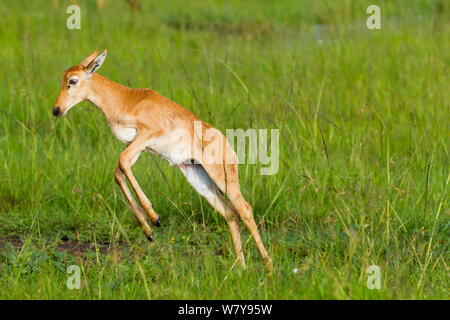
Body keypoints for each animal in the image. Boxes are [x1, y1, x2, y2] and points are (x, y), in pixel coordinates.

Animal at [51, 51, 272, 272]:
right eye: (62, 79)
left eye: (73, 81)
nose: (56, 109)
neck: (128, 99)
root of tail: (226, 143)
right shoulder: (136, 145)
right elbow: (119, 171)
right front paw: (148, 230)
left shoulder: (146, 135)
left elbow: (121, 162)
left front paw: (155, 217)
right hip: (199, 180)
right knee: (230, 214)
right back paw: (241, 267)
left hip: (222, 177)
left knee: (245, 209)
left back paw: (268, 267)